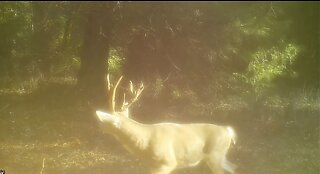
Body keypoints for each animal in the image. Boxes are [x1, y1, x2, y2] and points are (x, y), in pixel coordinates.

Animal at [95, 75, 235, 174]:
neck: (145, 144)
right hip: (219, 157)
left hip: (215, 156)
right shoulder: (153, 166)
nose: (99, 128)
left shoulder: (167, 163)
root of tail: (228, 130)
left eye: (105, 121)